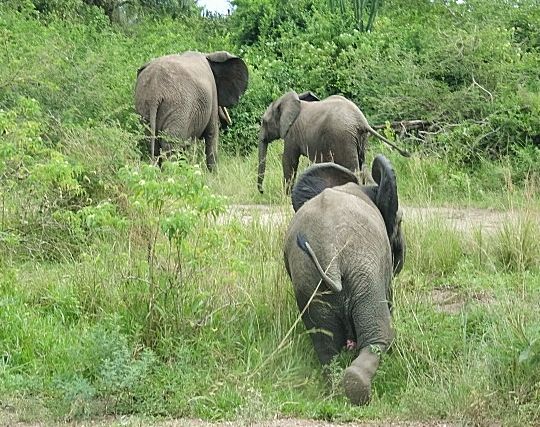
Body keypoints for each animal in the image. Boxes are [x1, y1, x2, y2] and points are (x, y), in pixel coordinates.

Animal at [258, 92, 410, 194]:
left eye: (264, 122)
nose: (262, 191)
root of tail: (361, 121)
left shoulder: (291, 133)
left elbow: (289, 160)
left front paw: (286, 195)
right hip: (359, 139)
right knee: (363, 165)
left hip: (343, 136)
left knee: (353, 169)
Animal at [282, 155, 404, 406]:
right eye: (400, 221)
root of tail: (330, 249)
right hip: (364, 271)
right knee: (379, 336)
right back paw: (357, 389)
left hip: (309, 283)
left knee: (326, 347)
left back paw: (336, 390)